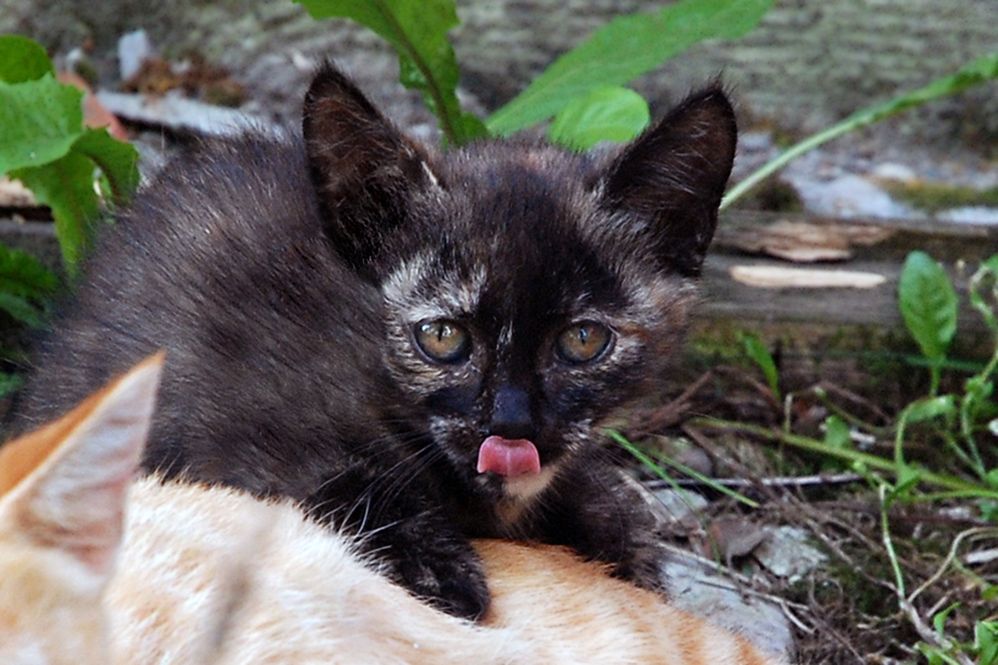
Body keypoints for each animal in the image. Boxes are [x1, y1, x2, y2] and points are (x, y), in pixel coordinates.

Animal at [11, 66, 740, 616]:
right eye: (442, 336)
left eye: (583, 340)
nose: (511, 424)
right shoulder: (225, 420)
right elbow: (335, 480)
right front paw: (441, 570)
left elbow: (613, 509)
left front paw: (619, 535)